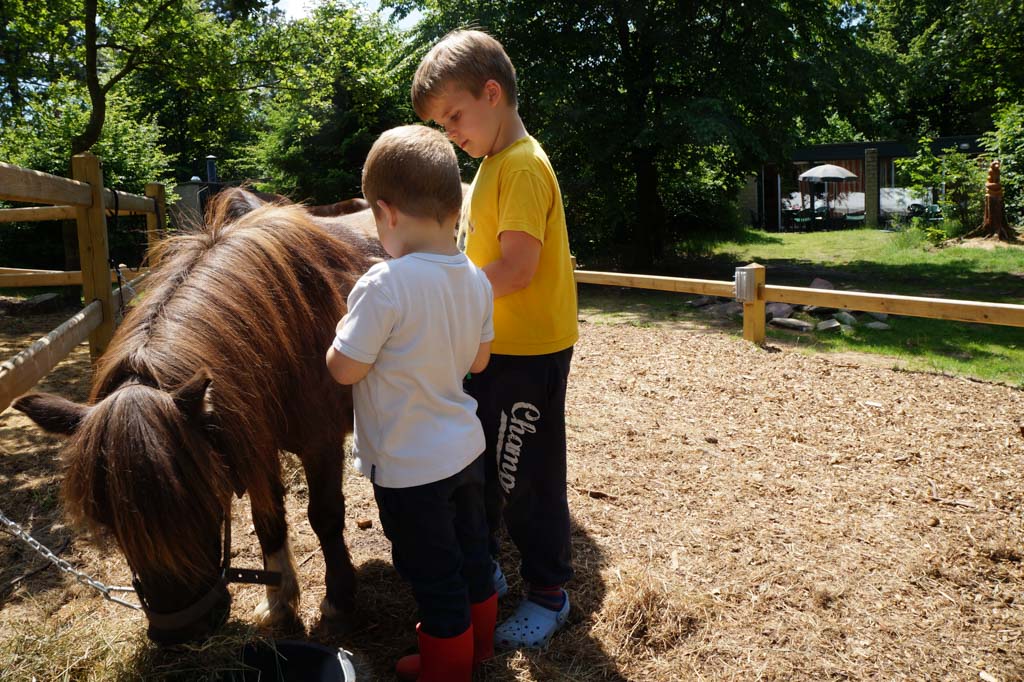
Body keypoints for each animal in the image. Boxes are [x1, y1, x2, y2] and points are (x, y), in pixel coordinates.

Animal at [14, 191, 374, 643]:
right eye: (106, 517)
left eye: (202, 499)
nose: (179, 631)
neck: (283, 325)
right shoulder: (254, 440)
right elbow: (268, 519)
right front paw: (278, 603)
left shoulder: (320, 444)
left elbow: (324, 517)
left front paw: (339, 602)